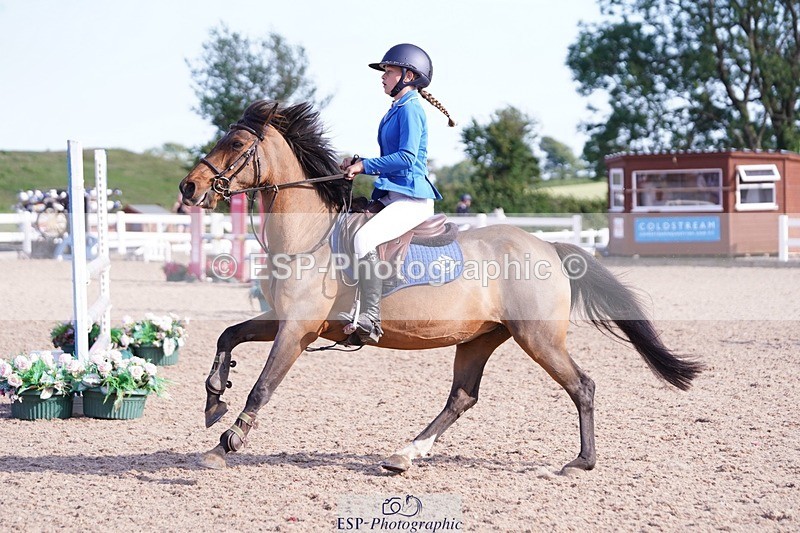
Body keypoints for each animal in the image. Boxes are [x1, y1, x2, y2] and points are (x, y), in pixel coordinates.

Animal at [179, 100, 703, 473]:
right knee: (462, 397)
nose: (188, 188)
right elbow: (229, 335)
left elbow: (263, 387)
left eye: (235, 144)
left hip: (538, 337)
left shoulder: (297, 329)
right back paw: (405, 454)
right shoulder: (286, 321)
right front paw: (214, 398)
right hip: (480, 337)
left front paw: (227, 443)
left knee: (582, 385)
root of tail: (548, 246)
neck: (311, 234)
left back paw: (581, 462)